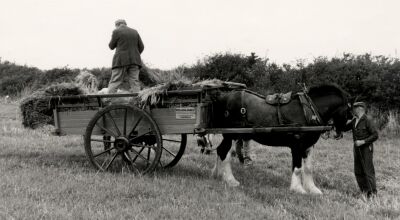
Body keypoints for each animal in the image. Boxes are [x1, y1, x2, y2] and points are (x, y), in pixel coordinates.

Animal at [211, 84, 352, 194]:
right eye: (348, 111)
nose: (344, 130)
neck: (308, 110)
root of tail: (223, 96)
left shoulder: (308, 145)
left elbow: (308, 168)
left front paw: (312, 189)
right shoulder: (297, 145)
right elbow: (298, 168)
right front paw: (298, 189)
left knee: (220, 150)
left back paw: (217, 175)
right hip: (232, 134)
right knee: (225, 152)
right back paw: (230, 180)